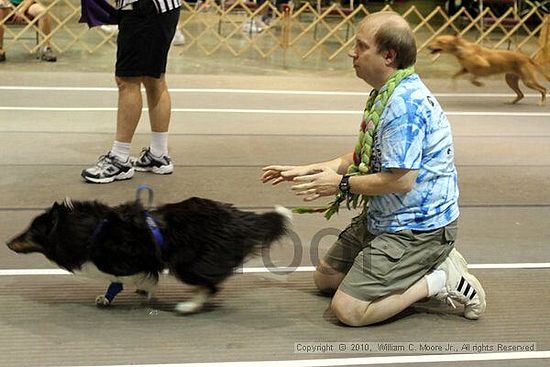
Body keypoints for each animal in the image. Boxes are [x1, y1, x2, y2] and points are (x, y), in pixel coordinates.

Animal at [6, 197, 294, 314]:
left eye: (31, 231)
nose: (8, 242)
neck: (89, 230)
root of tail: (238, 218)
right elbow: (115, 284)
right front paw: (108, 298)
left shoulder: (129, 261)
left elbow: (129, 278)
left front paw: (144, 289)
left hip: (187, 264)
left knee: (211, 287)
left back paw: (188, 306)